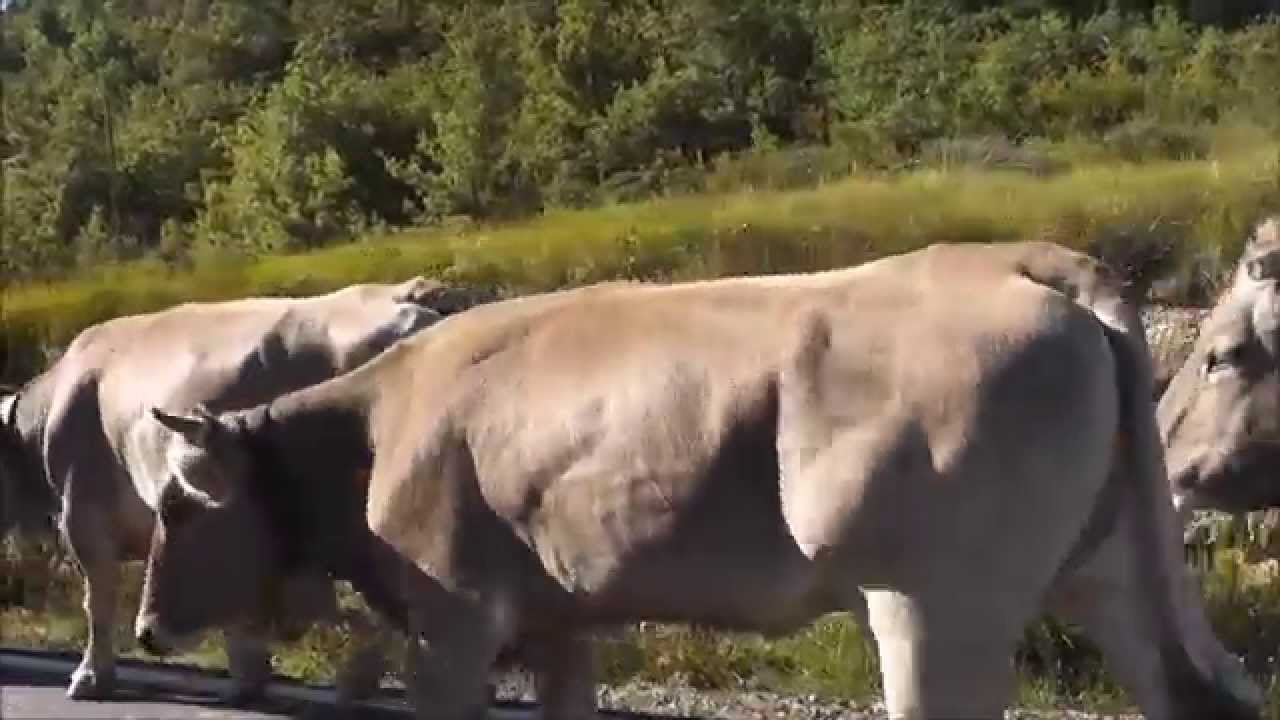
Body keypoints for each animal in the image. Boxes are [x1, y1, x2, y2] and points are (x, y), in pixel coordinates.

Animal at [0, 276, 449, 705]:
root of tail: (409, 292)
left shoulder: (83, 513)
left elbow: (98, 601)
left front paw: (91, 677)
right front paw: (249, 678)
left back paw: (362, 681)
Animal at [135, 241, 1262, 720]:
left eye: (180, 504)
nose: (145, 628)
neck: (372, 429)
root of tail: (1016, 257)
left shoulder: (451, 620)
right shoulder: (562, 617)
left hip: (936, 601)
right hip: (1106, 572)